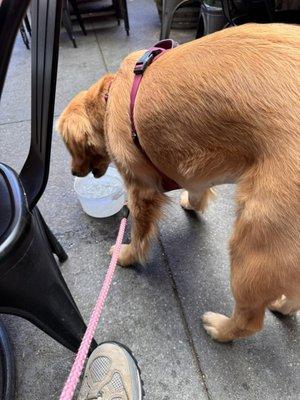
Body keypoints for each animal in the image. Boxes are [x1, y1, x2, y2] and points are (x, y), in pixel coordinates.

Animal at [56, 23, 300, 342]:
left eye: (69, 148)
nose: (73, 172)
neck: (111, 98)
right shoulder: (193, 164)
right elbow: (196, 189)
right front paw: (191, 204)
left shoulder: (142, 188)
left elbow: (139, 231)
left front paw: (127, 255)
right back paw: (282, 306)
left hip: (256, 240)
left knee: (250, 320)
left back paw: (221, 328)